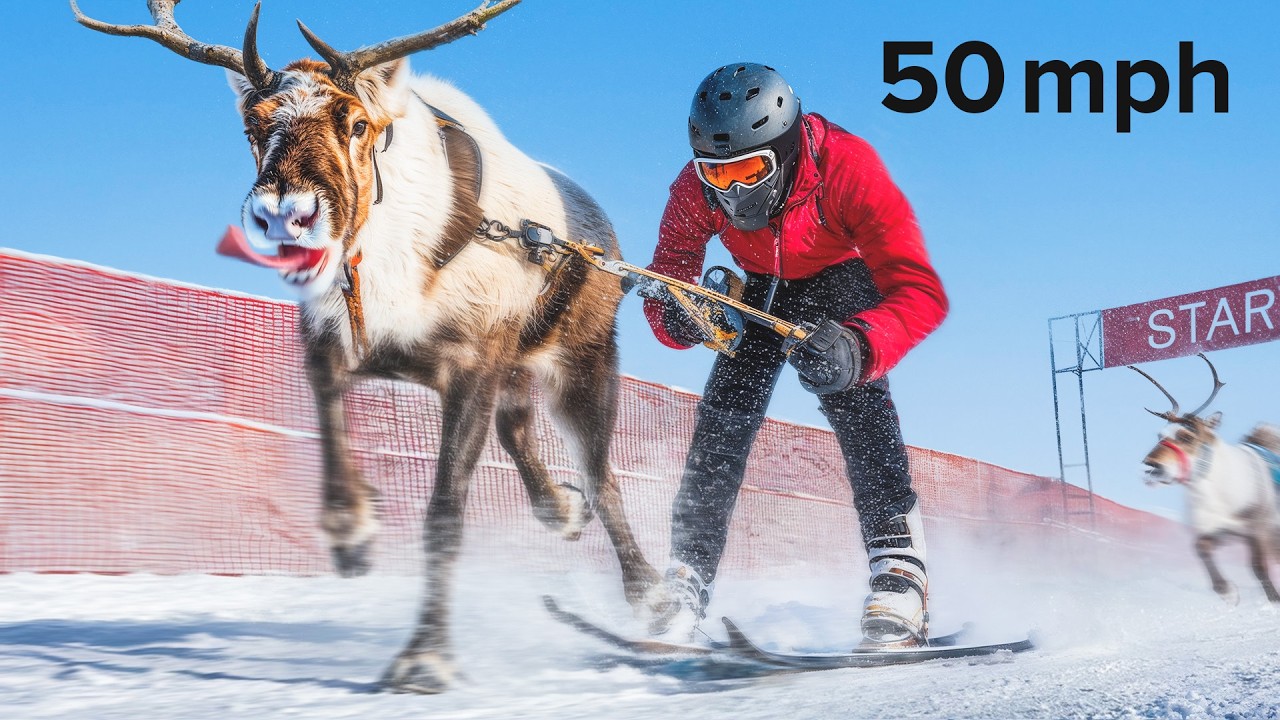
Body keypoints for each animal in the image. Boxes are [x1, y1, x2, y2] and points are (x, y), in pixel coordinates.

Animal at [72, 0, 676, 693]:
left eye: (357, 123)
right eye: (254, 124)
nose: (286, 215)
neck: (386, 266)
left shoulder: (471, 364)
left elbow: (445, 516)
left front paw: (425, 657)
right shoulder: (332, 341)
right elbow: (334, 447)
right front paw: (354, 531)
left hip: (581, 359)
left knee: (603, 476)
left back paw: (652, 596)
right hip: (519, 369)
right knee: (521, 430)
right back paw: (562, 509)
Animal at [1129, 353, 1280, 605]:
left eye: (1187, 436)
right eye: (1160, 434)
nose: (1151, 464)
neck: (1216, 494)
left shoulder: (1256, 526)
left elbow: (1259, 567)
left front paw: (1273, 600)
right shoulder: (1214, 530)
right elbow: (1200, 548)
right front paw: (1228, 592)